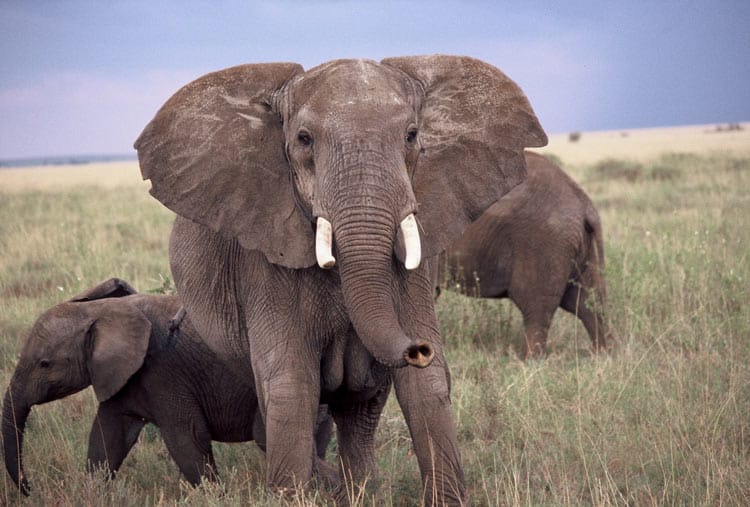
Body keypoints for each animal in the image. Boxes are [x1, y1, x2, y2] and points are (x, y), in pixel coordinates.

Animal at [0, 278, 334, 496]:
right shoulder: (123, 377)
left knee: (267, 437)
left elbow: (186, 438)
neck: (102, 310)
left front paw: (216, 498)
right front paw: (91, 494)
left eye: (44, 364)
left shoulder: (164, 372)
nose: (29, 490)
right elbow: (108, 438)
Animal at [135, 55, 548, 504]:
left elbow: (427, 383)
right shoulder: (265, 256)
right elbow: (291, 385)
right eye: (303, 139)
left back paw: (357, 490)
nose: (417, 348)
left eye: (412, 135)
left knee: (360, 407)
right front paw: (291, 495)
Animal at [438, 153, 612, 360]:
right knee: (589, 304)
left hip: (544, 243)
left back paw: (528, 362)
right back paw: (605, 356)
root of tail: (585, 204)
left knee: (537, 308)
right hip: (582, 248)